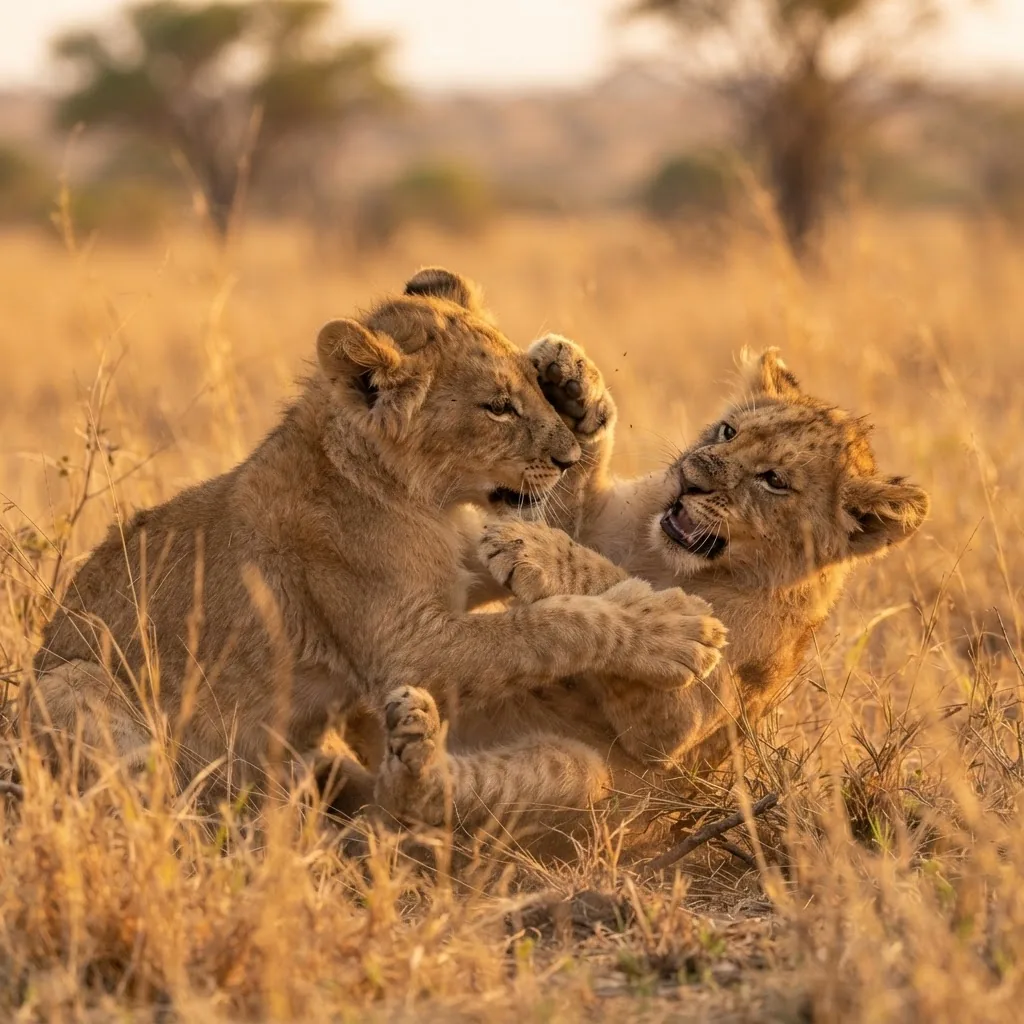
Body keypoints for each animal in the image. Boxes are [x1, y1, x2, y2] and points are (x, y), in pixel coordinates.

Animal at [23, 269, 726, 798]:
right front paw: (678, 632)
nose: (562, 456)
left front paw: (578, 389)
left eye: (531, 388)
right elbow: (548, 628)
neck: (425, 498)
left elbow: (559, 552)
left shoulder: (462, 563)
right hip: (69, 683)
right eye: (496, 407)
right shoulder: (408, 647)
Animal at [367, 342, 930, 849]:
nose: (690, 478)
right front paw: (573, 384)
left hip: (584, 783)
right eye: (729, 431)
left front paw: (531, 550)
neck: (666, 556)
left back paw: (416, 750)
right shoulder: (599, 520)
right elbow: (571, 500)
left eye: (774, 480)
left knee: (418, 803)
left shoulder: (685, 723)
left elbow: (615, 586)